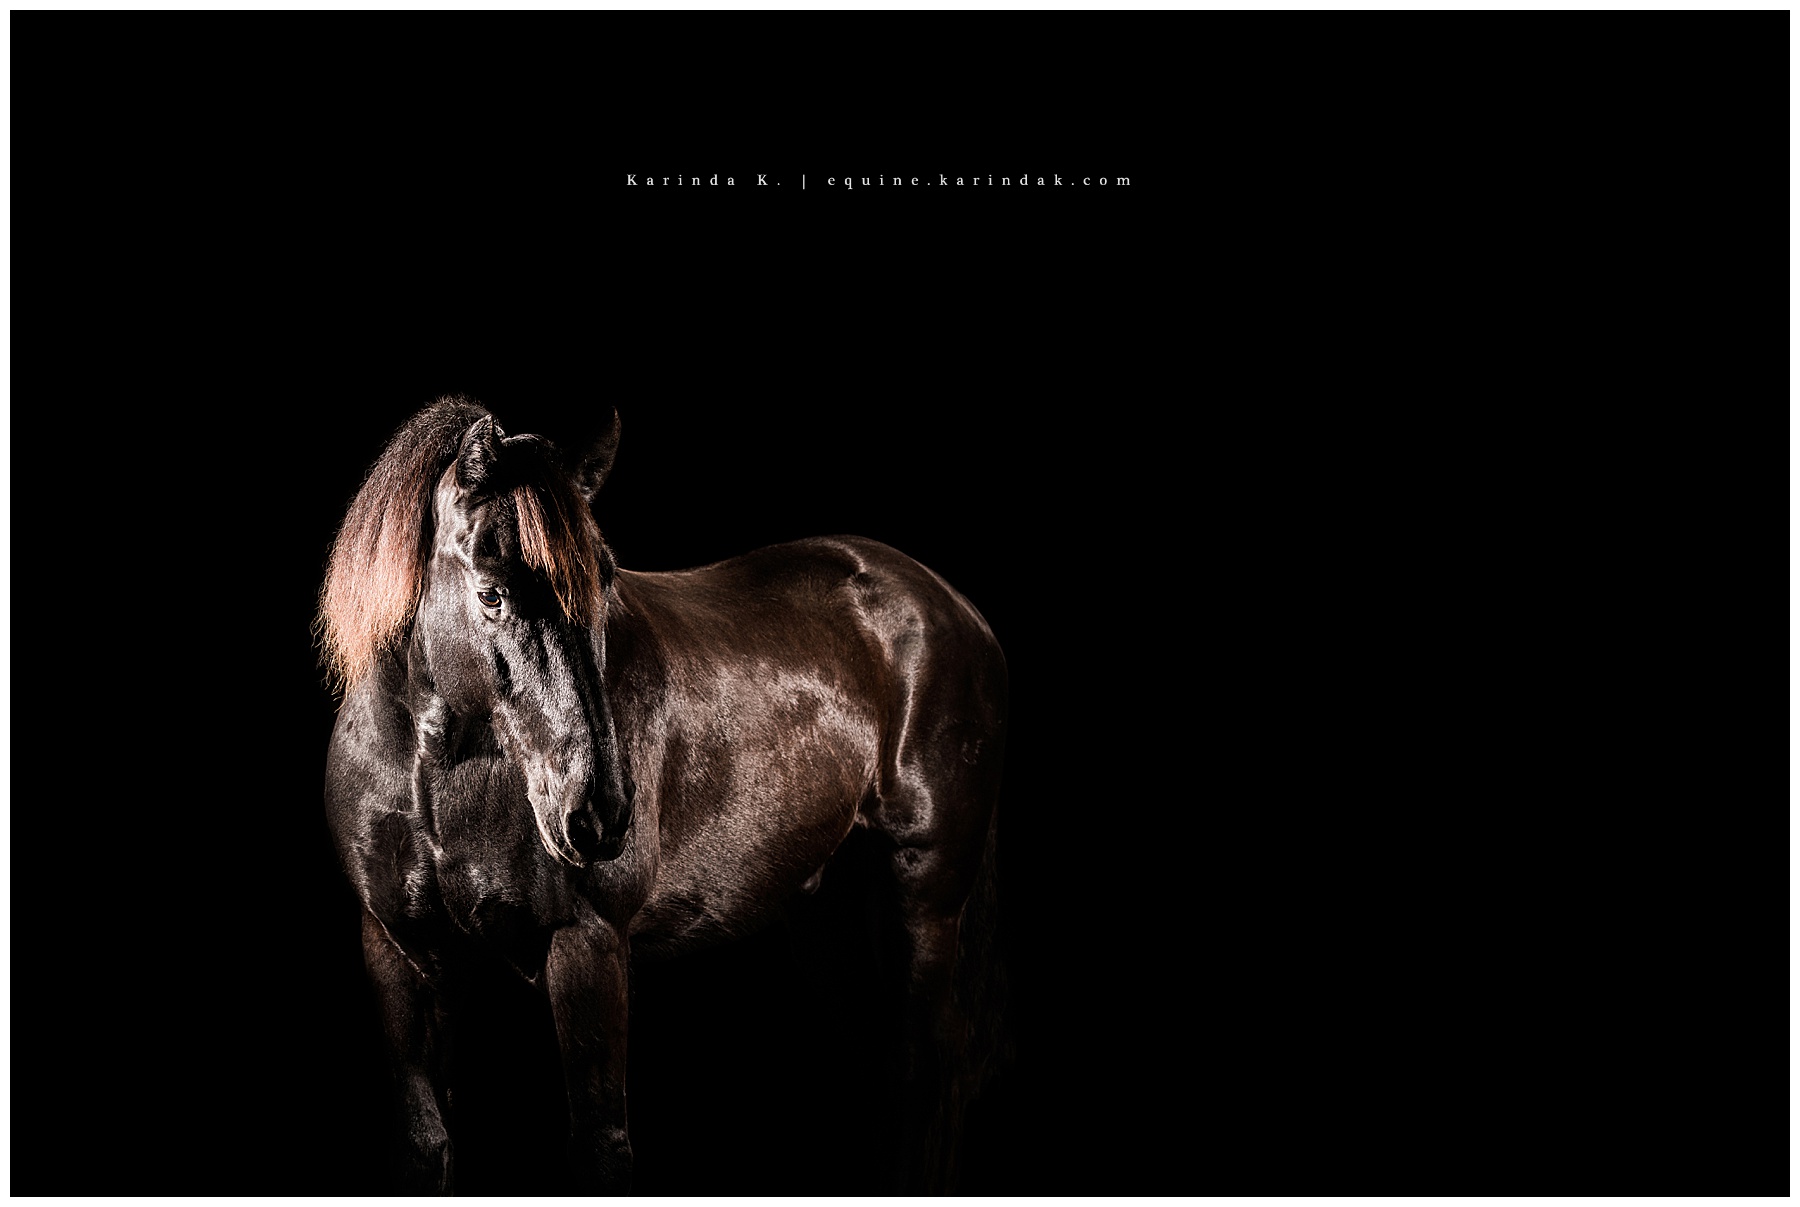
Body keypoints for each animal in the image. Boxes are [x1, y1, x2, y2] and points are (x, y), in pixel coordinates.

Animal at [316, 396, 1010, 1194]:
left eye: (605, 580)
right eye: (491, 593)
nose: (599, 811)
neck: (440, 780)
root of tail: (953, 607)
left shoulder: (588, 944)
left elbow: (600, 1146)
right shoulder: (401, 952)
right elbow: (425, 1142)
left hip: (923, 899)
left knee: (924, 1072)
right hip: (827, 916)